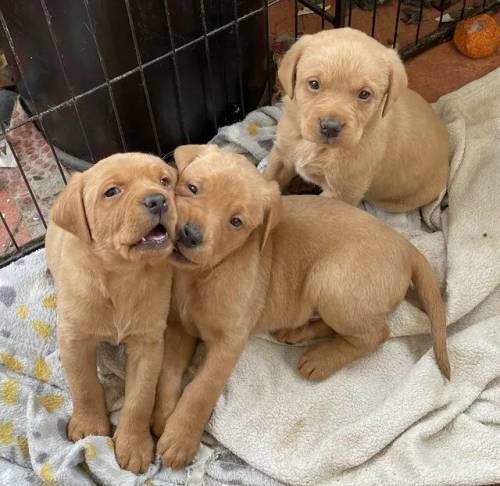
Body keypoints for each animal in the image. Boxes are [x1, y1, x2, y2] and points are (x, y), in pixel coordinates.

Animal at [45, 154, 178, 472]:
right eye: (112, 192)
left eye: (164, 181)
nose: (159, 199)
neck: (121, 277)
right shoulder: (73, 338)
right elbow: (83, 385)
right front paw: (89, 426)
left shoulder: (148, 344)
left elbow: (140, 398)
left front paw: (134, 445)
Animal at [152, 143, 450, 468]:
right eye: (192, 188)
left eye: (236, 222)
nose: (189, 234)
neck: (204, 274)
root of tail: (406, 246)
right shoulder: (177, 328)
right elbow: (167, 372)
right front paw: (162, 419)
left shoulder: (228, 344)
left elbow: (201, 389)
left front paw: (181, 440)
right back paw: (297, 333)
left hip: (331, 280)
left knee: (375, 333)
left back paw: (321, 359)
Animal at [266, 27, 450, 212]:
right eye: (314, 84)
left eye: (364, 94)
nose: (330, 127)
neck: (317, 146)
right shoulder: (281, 155)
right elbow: (268, 179)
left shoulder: (342, 193)